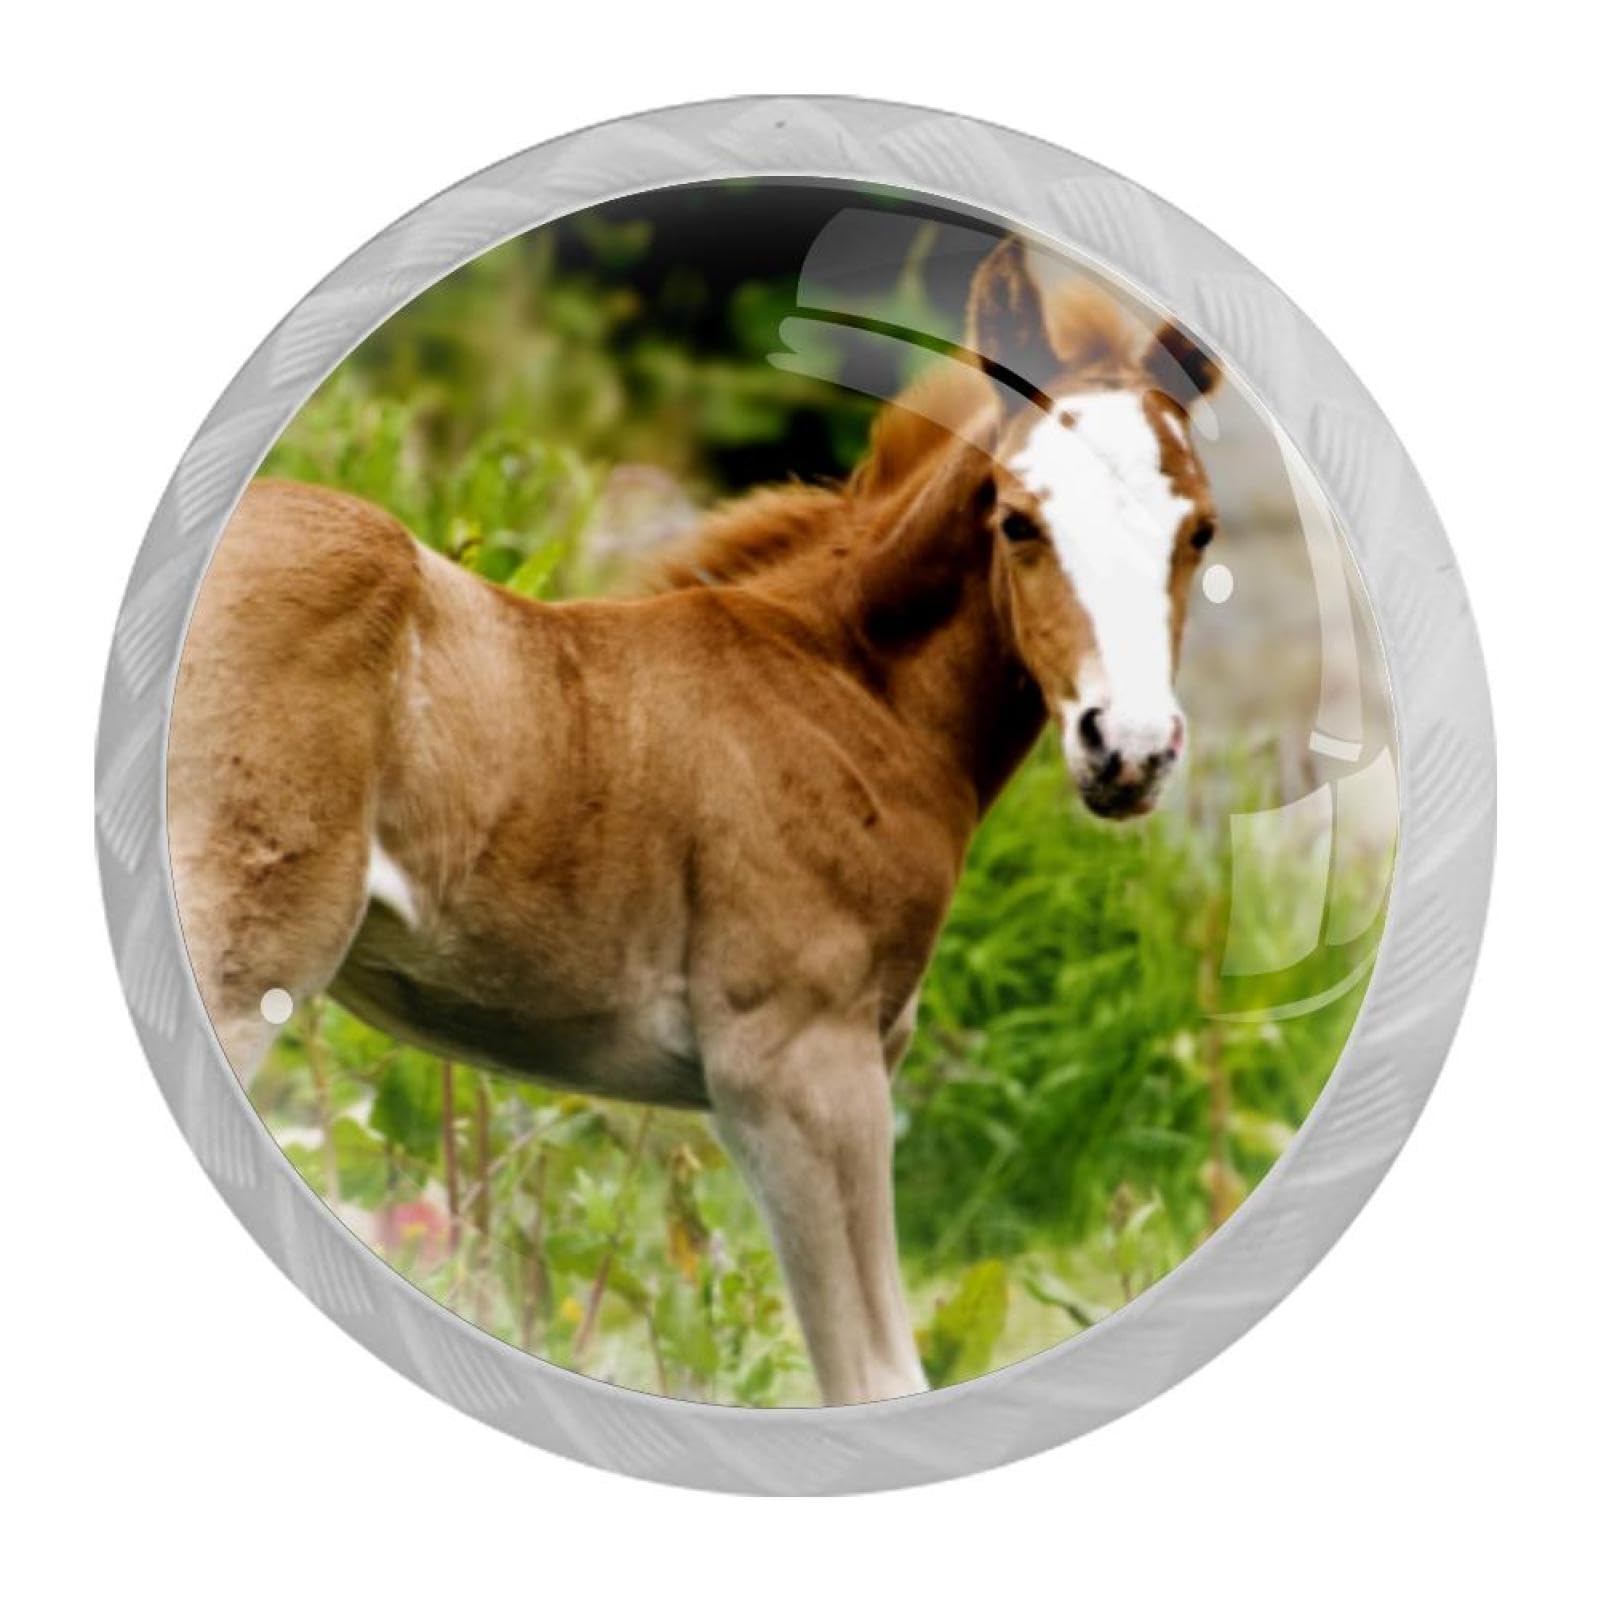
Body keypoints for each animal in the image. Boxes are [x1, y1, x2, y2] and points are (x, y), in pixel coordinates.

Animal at [168, 236, 1221, 1406]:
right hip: (239, 958)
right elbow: (873, 1373)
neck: (846, 688)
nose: (1127, 750)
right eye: (1017, 520)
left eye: (1198, 531)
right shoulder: (794, 1067)